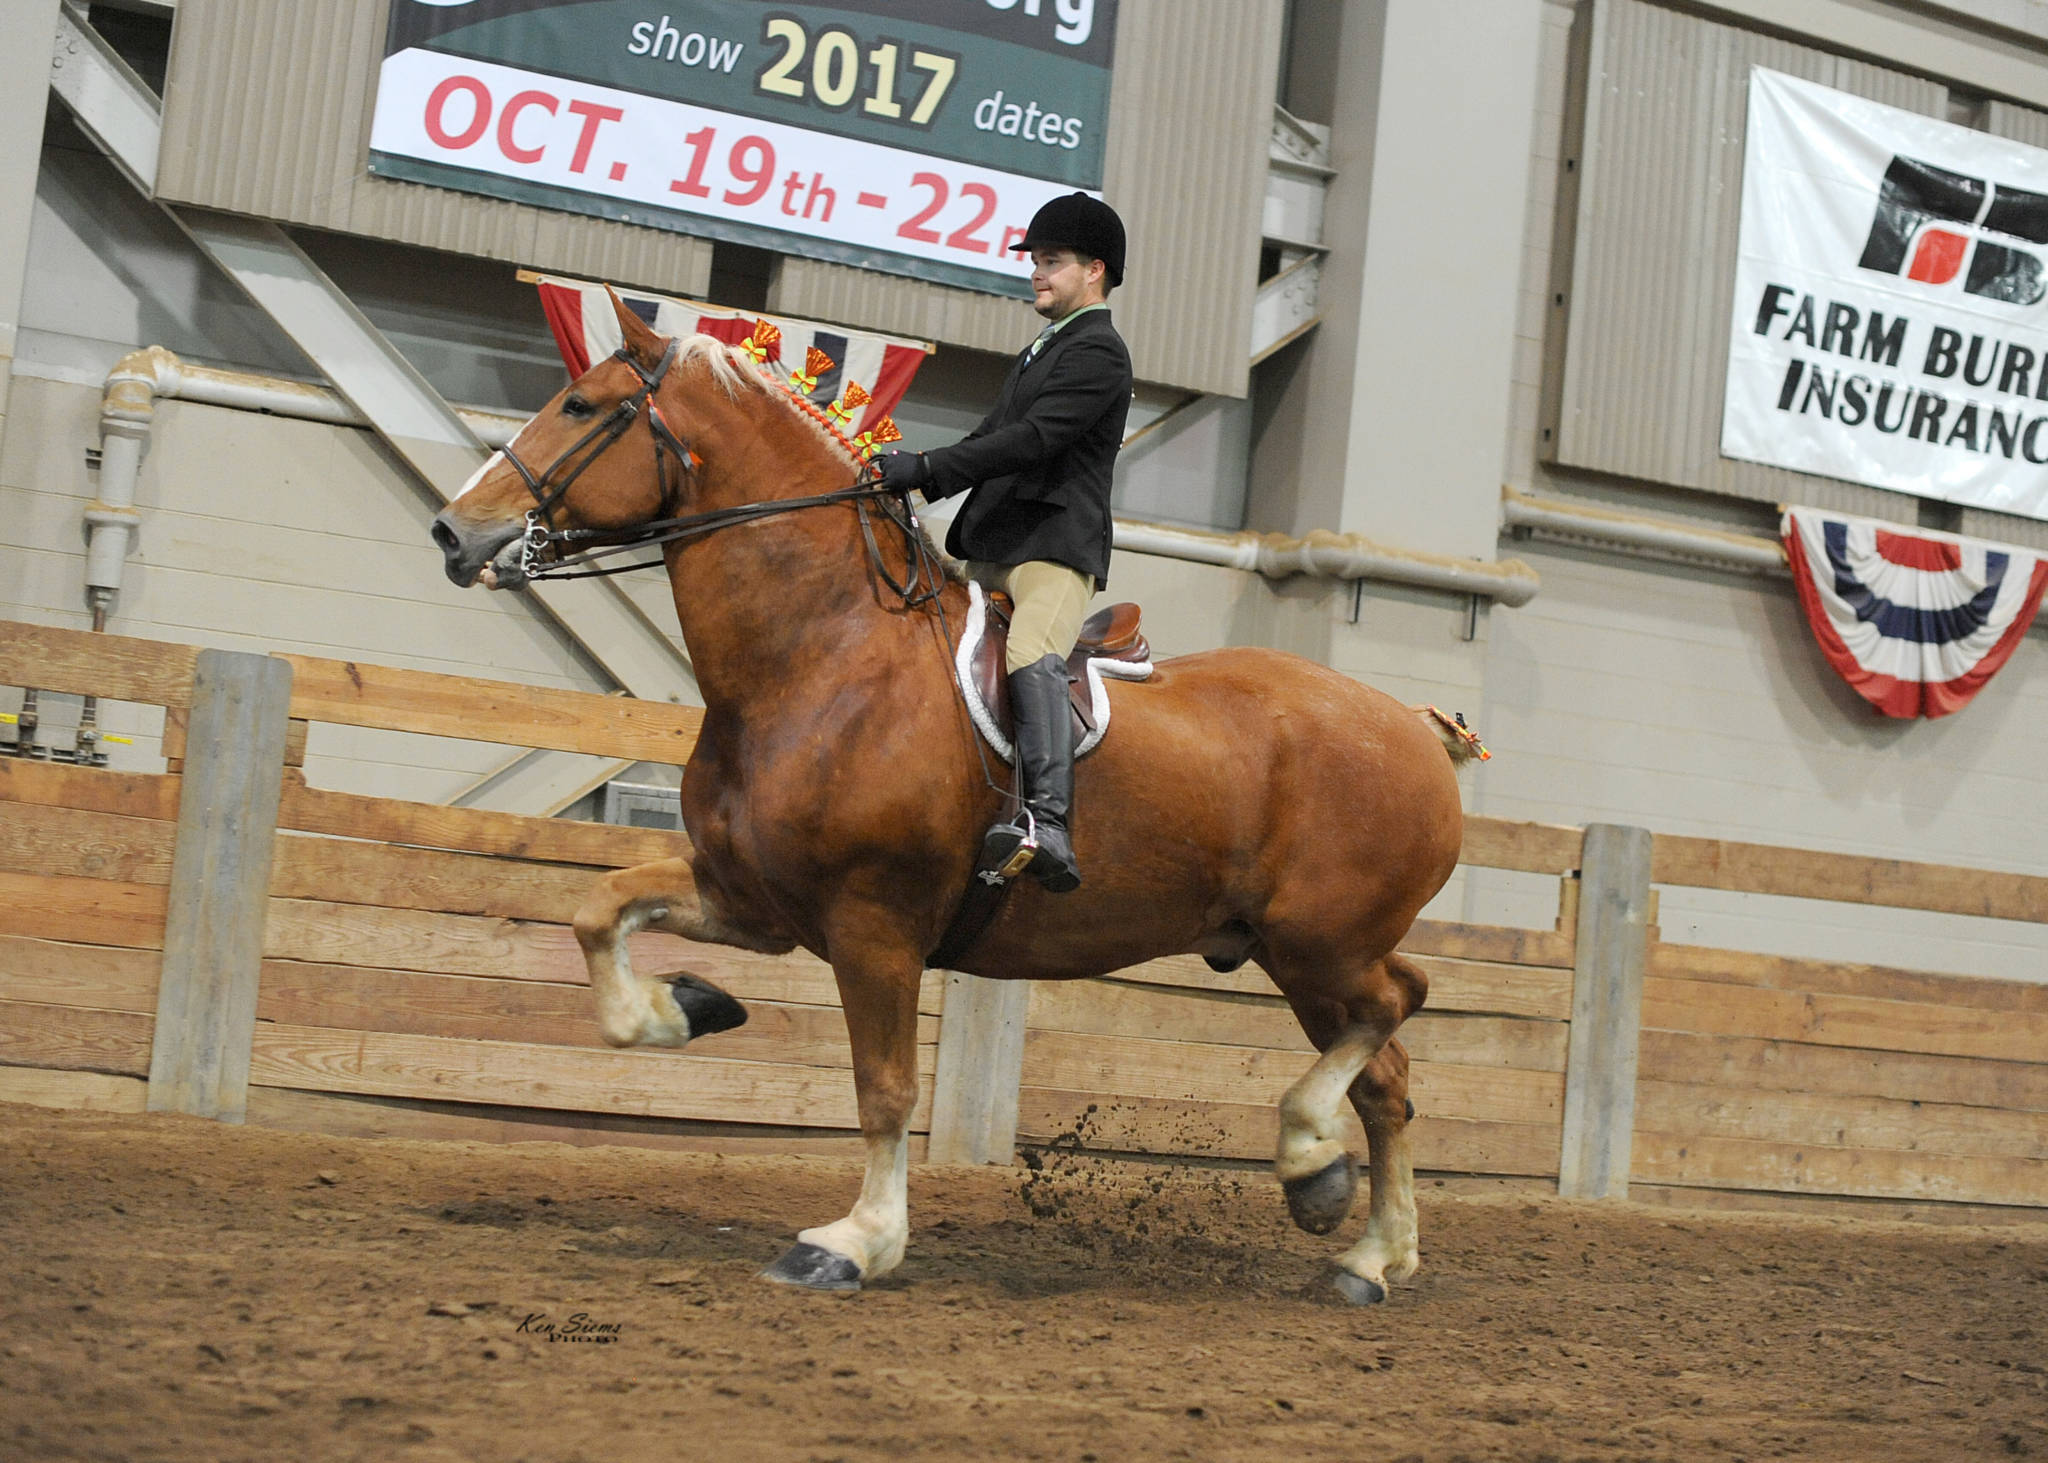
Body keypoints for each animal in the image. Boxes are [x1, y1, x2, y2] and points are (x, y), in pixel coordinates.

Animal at [429, 292, 1471, 1305]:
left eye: (582, 407)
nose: (452, 532)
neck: (823, 654)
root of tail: (1415, 728)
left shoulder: (873, 924)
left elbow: (885, 1087)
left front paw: (856, 1241)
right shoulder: (754, 900)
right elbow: (597, 910)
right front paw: (685, 1004)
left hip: (1321, 943)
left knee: (1397, 1007)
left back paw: (1313, 1168)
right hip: (1293, 955)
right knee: (1386, 1074)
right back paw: (1368, 1253)